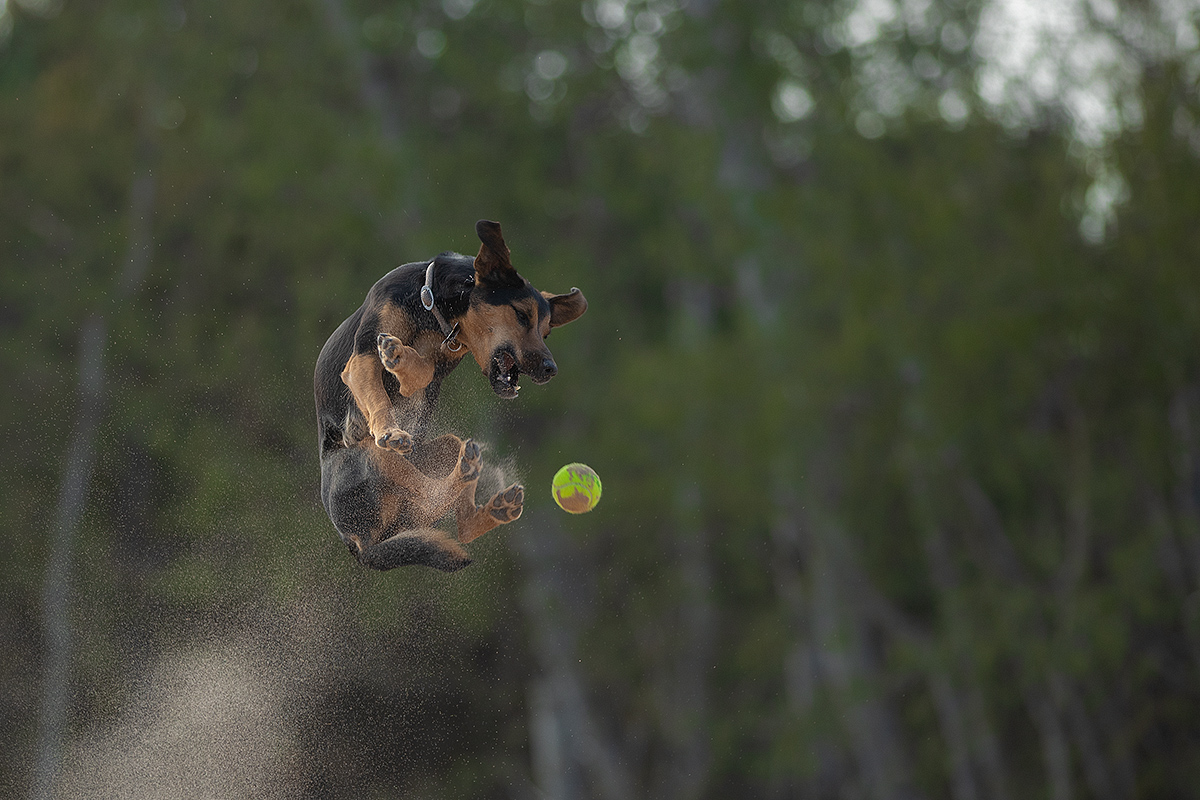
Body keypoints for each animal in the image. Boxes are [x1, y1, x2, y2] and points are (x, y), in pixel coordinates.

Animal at [314, 215, 585, 573]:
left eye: (547, 331)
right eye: (522, 315)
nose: (550, 369)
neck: (433, 310)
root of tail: (361, 545)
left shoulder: (445, 356)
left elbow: (427, 369)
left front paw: (405, 365)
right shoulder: (362, 358)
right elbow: (390, 387)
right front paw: (391, 423)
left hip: (443, 448)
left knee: (451, 513)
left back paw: (490, 498)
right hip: (369, 456)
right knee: (429, 494)